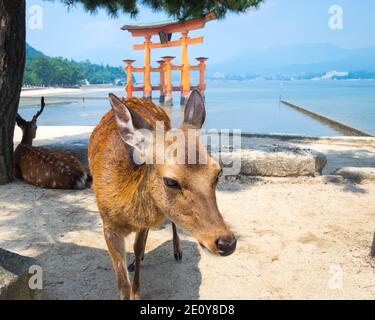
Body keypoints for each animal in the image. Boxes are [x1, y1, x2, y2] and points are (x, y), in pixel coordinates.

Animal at [87, 89, 238, 300]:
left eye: (217, 172)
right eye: (171, 181)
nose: (226, 243)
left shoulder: (142, 224)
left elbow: (137, 247)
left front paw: (137, 292)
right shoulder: (108, 226)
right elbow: (122, 285)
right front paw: (131, 287)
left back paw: (177, 251)